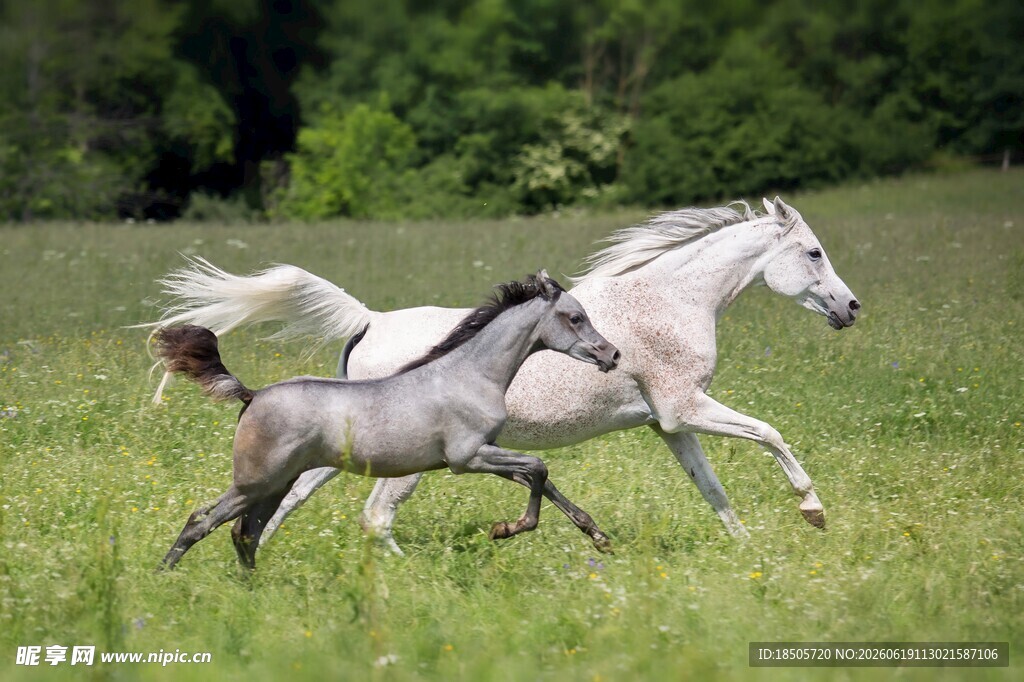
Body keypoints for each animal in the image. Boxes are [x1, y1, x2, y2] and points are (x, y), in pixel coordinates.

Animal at [153, 272, 620, 569]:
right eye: (575, 317)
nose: (612, 354)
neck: (469, 374)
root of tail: (252, 395)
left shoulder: (485, 454)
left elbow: (543, 480)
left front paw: (597, 536)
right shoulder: (468, 457)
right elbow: (539, 468)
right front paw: (507, 529)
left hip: (274, 485)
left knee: (244, 533)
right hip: (255, 482)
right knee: (202, 522)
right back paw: (164, 577)